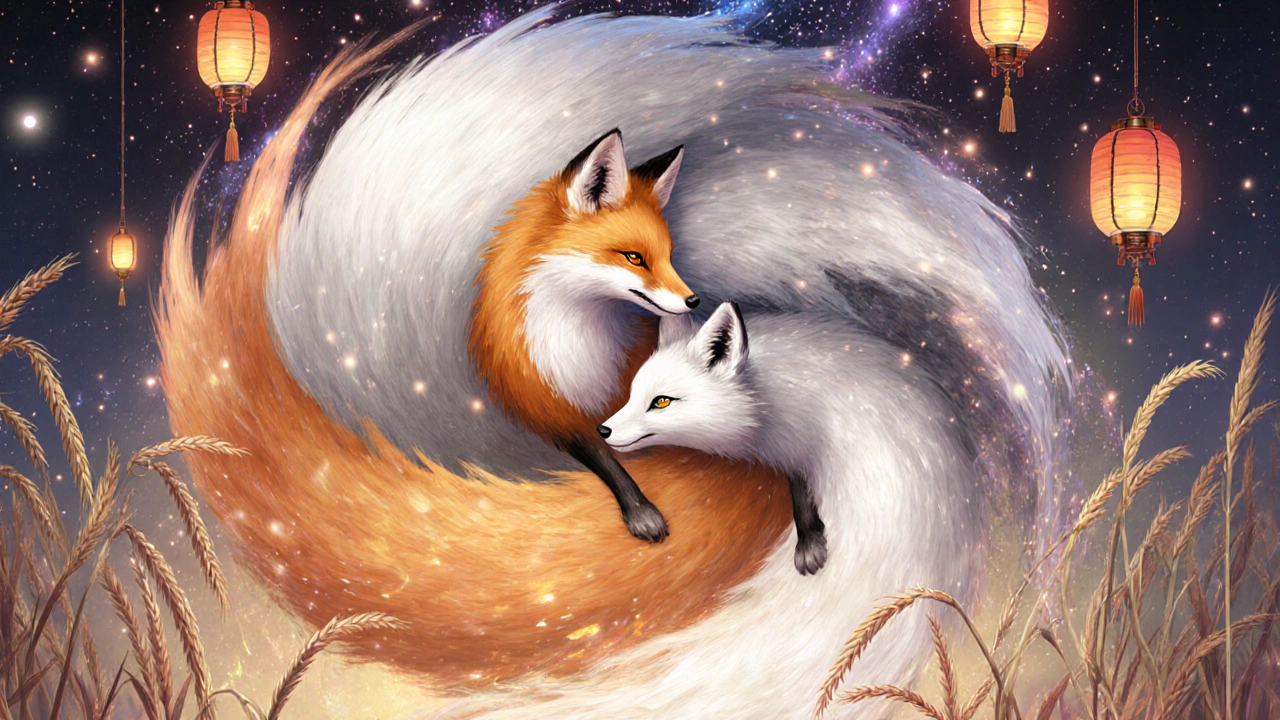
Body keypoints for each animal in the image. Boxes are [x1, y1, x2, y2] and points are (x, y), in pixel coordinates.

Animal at [471, 128, 699, 542]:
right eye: (635, 258)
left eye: (669, 257)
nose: (695, 301)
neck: (583, 348)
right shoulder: (554, 412)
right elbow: (607, 460)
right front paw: (641, 511)